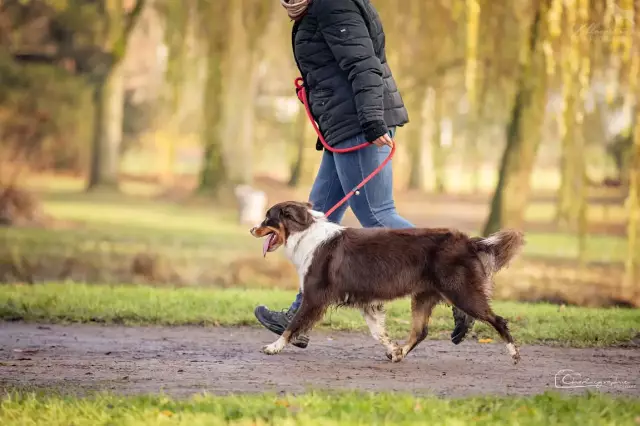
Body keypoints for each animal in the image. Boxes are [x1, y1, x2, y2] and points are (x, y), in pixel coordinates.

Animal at [250, 201, 524, 364]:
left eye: (267, 218)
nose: (252, 230)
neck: (305, 234)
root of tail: (469, 242)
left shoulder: (314, 296)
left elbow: (292, 325)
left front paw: (273, 347)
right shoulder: (366, 301)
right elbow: (378, 332)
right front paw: (393, 348)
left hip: (462, 292)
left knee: (498, 320)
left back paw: (514, 353)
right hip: (424, 296)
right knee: (420, 331)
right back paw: (401, 353)